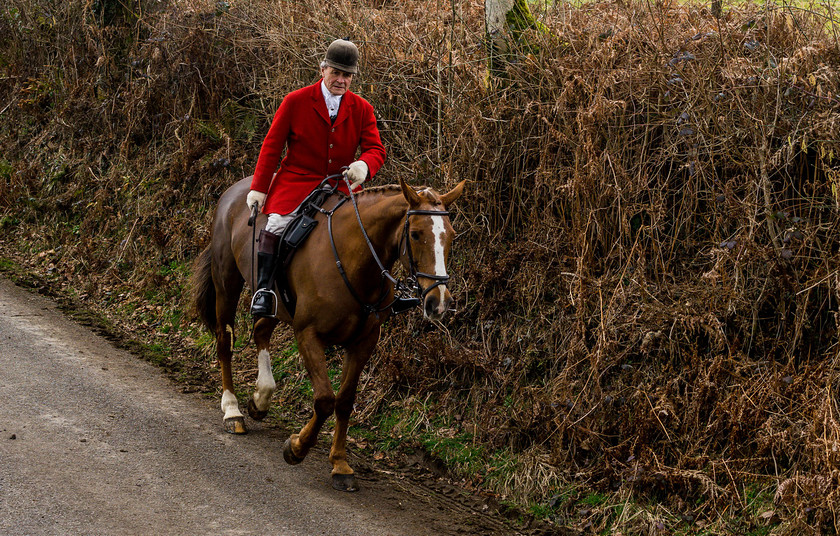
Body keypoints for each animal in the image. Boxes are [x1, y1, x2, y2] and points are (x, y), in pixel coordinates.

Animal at [191, 176, 466, 490]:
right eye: (417, 234)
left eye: (452, 235)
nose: (439, 302)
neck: (354, 260)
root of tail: (239, 185)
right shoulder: (308, 335)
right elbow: (324, 399)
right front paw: (297, 447)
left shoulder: (363, 342)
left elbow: (344, 401)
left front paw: (340, 464)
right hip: (226, 282)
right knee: (225, 341)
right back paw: (232, 410)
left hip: (277, 303)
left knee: (261, 330)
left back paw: (261, 398)